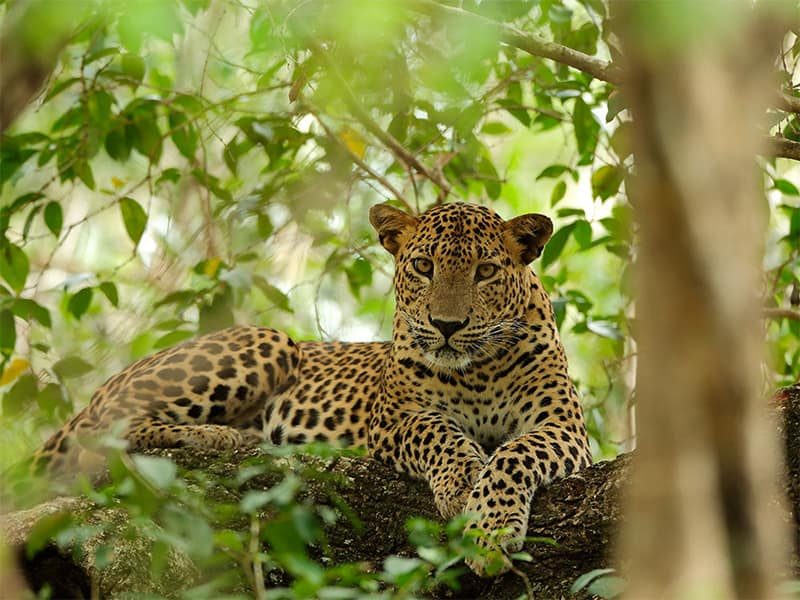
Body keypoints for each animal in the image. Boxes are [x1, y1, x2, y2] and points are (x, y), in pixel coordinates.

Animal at [31, 201, 592, 576]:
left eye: (486, 271)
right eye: (423, 266)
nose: (447, 325)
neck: (476, 369)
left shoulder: (564, 427)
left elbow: (515, 454)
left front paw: (491, 527)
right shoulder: (395, 420)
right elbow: (441, 434)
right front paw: (461, 486)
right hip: (269, 340)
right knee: (102, 432)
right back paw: (218, 436)